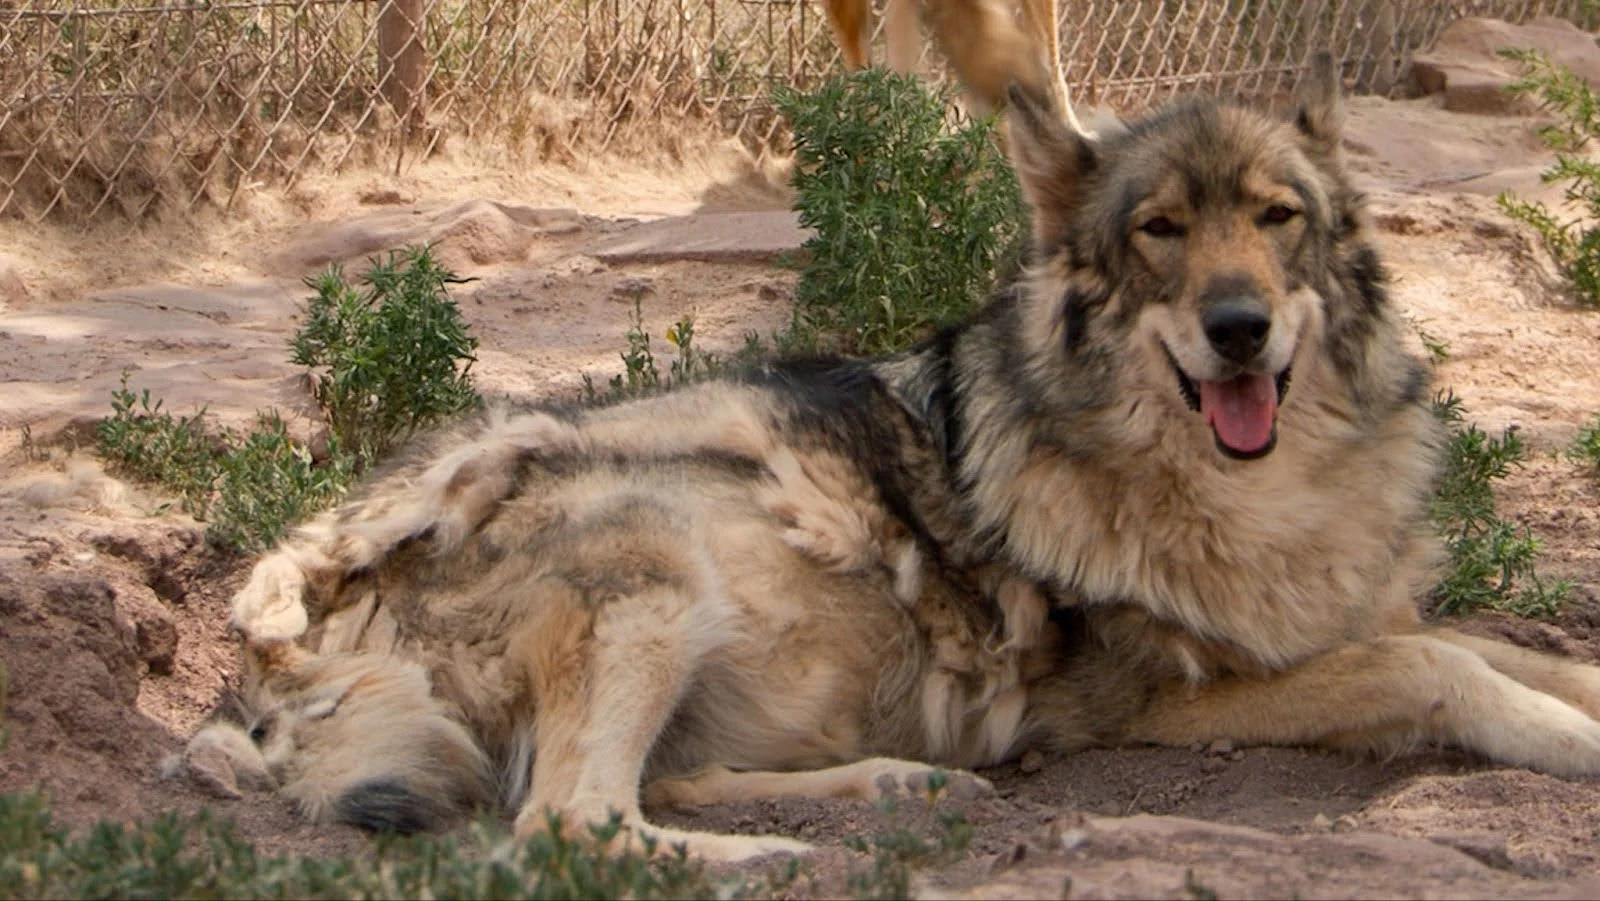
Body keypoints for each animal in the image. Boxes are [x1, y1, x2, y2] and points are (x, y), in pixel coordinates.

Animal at [181, 57, 1600, 861]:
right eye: (1159, 230)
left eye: (1274, 217)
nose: (1238, 326)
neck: (1257, 496)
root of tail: (305, 606)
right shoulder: (1155, 703)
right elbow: (1434, 667)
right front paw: (1567, 745)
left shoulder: (1334, 623)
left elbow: (1512, 650)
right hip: (656, 550)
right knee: (565, 830)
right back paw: (790, 858)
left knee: (652, 788)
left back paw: (895, 786)